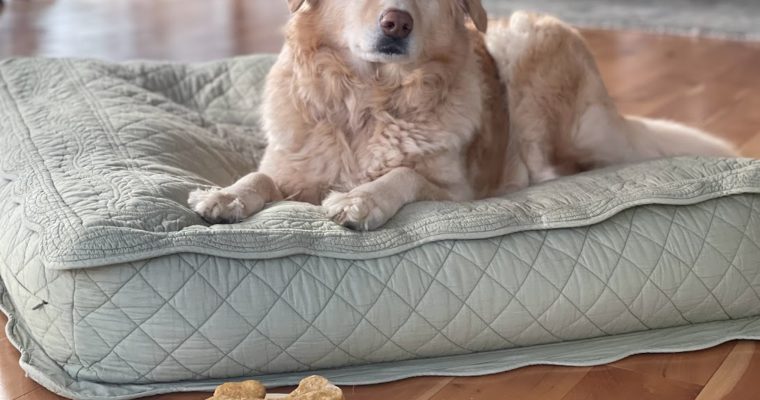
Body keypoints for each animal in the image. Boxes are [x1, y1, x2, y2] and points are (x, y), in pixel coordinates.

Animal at [189, 0, 736, 230]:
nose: (396, 22)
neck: (370, 99)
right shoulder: (292, 170)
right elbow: (260, 177)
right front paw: (225, 195)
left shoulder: (458, 192)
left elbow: (404, 174)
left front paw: (363, 200)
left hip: (524, 48)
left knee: (556, 168)